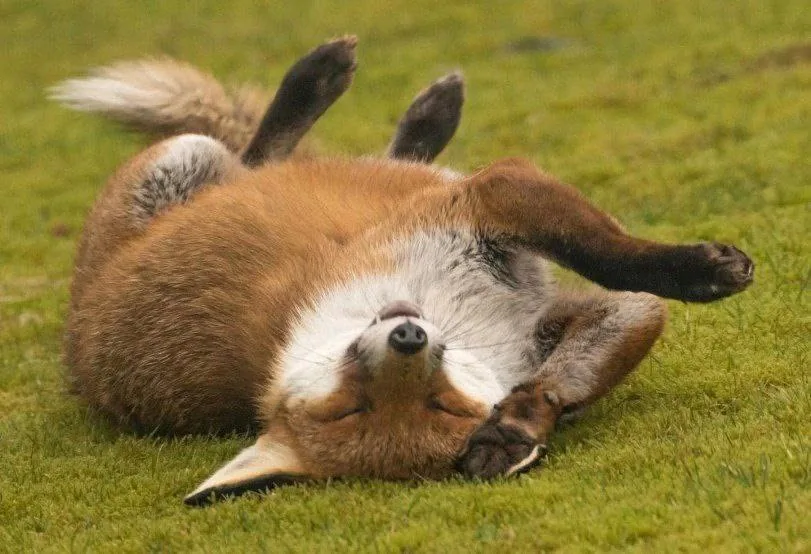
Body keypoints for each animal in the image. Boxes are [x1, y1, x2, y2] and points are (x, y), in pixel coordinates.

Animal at [54, 38, 754, 505]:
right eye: (351, 410)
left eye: (440, 401)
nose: (408, 338)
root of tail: (74, 345)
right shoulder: (544, 304)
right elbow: (582, 360)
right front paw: (515, 430)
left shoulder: (489, 198)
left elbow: (608, 253)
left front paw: (702, 271)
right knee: (270, 155)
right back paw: (398, 109)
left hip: (189, 161)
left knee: (259, 155)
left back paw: (342, 84)